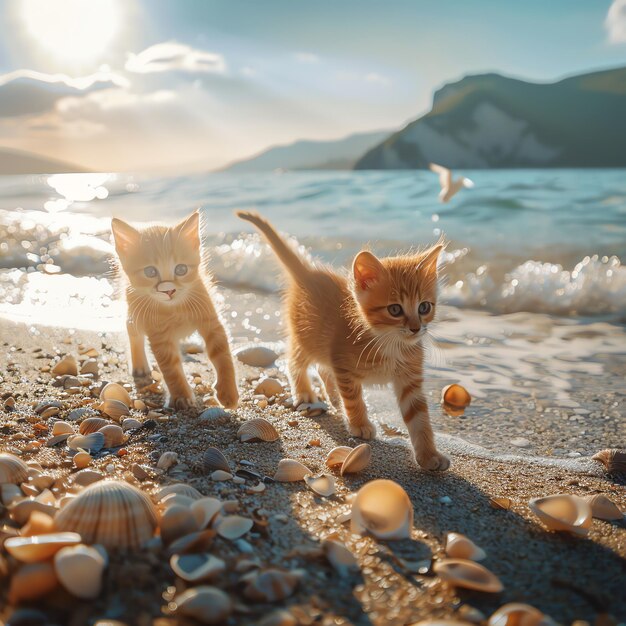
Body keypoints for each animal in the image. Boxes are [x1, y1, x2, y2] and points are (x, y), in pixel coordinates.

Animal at [111, 210, 238, 410]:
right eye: (150, 272)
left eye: (181, 269)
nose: (168, 290)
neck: (175, 308)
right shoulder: (158, 334)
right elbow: (171, 367)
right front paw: (181, 396)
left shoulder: (210, 319)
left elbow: (221, 353)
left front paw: (228, 392)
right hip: (135, 310)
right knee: (132, 330)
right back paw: (140, 367)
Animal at [236, 210, 446, 468]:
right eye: (395, 310)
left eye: (424, 307)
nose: (416, 328)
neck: (388, 342)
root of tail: (308, 273)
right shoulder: (343, 363)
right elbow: (353, 399)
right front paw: (359, 424)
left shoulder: (409, 378)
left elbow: (419, 418)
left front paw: (429, 456)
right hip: (307, 338)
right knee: (294, 362)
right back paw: (304, 392)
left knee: (322, 368)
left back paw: (333, 398)